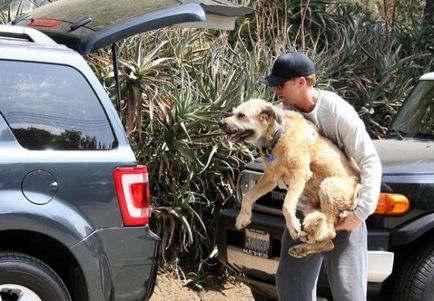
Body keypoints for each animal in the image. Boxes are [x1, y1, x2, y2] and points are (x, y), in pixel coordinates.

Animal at [219, 98, 362, 255]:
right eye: (234, 113)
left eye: (241, 115)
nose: (220, 123)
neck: (278, 136)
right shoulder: (271, 178)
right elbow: (248, 197)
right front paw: (242, 217)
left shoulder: (299, 173)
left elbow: (286, 205)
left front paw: (293, 226)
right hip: (310, 205)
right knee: (328, 240)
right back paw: (303, 245)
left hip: (328, 186)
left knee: (330, 231)